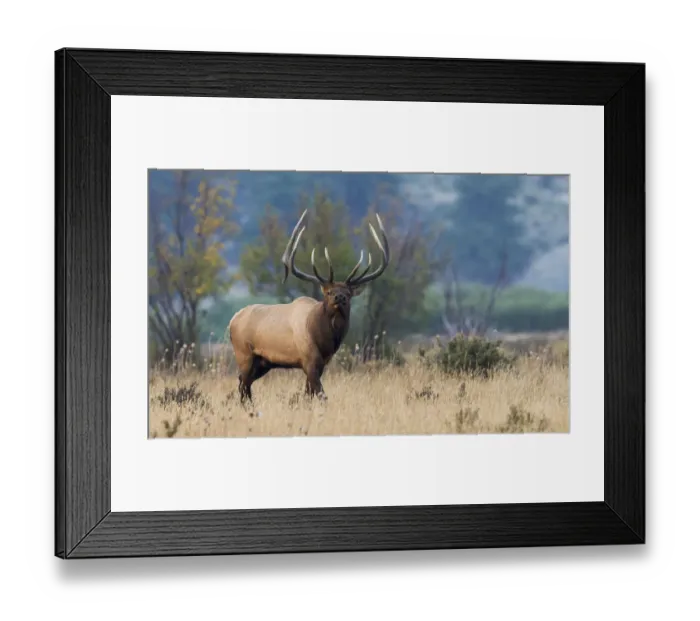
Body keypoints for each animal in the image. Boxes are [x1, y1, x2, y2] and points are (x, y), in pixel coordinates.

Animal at [228, 209, 390, 404]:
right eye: (328, 292)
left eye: (349, 293)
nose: (340, 297)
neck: (325, 340)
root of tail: (231, 321)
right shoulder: (308, 360)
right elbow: (320, 394)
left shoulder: (322, 363)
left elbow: (309, 394)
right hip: (244, 354)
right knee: (243, 386)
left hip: (263, 363)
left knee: (243, 386)